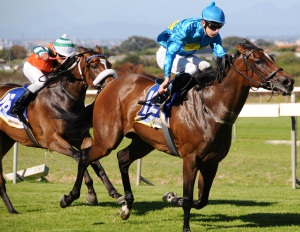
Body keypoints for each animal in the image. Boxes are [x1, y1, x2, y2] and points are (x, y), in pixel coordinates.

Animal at [0, 46, 121, 215]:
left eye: (109, 64)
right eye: (94, 66)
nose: (112, 86)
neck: (62, 100)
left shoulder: (82, 138)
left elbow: (94, 162)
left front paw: (114, 193)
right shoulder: (53, 141)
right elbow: (79, 157)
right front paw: (80, 195)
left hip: (6, 140)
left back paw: (11, 208)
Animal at [59, 40, 294, 232]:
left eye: (271, 58)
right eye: (258, 60)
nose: (288, 81)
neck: (210, 108)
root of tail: (108, 86)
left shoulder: (212, 162)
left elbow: (201, 200)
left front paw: (171, 197)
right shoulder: (190, 159)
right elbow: (190, 198)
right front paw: (185, 225)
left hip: (144, 142)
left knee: (122, 158)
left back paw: (126, 205)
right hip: (106, 139)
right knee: (85, 157)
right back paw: (70, 198)